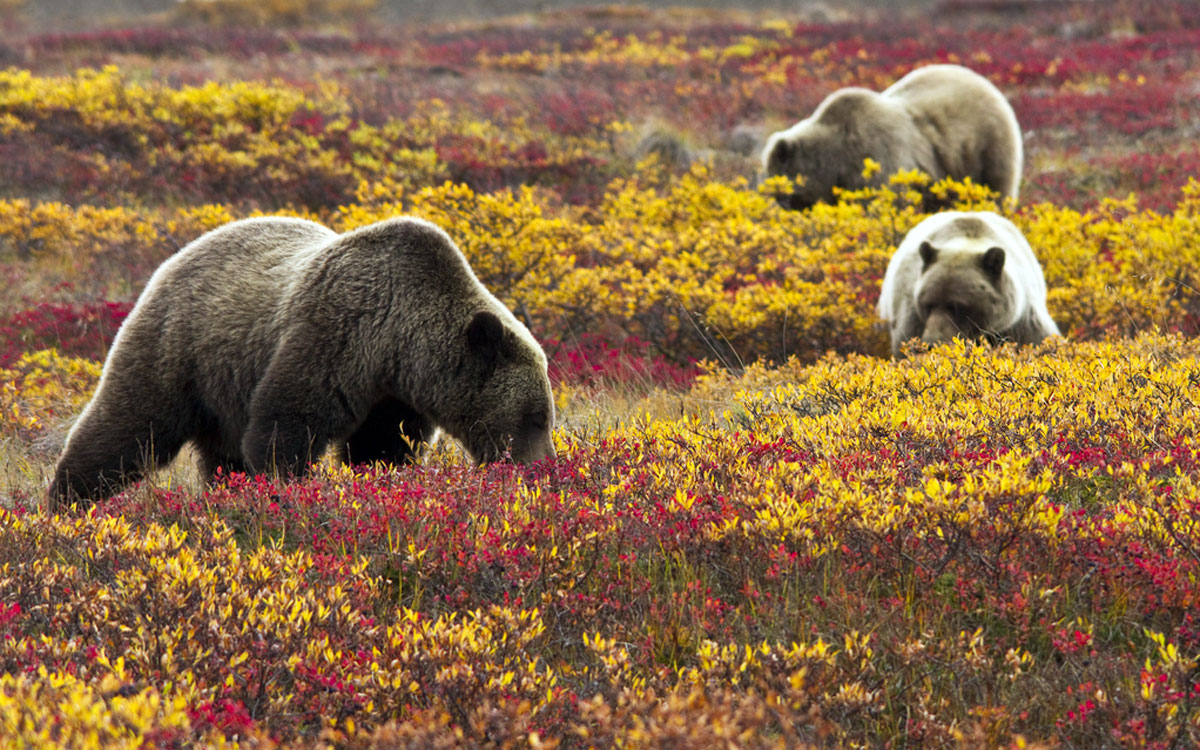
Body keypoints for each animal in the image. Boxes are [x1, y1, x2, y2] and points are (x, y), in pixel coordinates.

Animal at [45, 216, 552, 504]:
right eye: (536, 417)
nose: (542, 469)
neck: (398, 345)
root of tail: (178, 255)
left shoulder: (392, 396)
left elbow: (382, 449)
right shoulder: (337, 336)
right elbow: (285, 428)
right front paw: (285, 493)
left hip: (222, 388)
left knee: (218, 457)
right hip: (180, 346)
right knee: (130, 426)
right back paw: (65, 501)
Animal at [758, 64, 1022, 208]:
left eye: (778, 182)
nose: (780, 203)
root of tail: (985, 82)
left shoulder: (878, 159)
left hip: (986, 147)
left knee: (996, 188)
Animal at [873, 206, 1060, 355]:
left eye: (957, 306)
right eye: (927, 304)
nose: (932, 342)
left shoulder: (1019, 321)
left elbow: (1039, 340)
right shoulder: (911, 312)